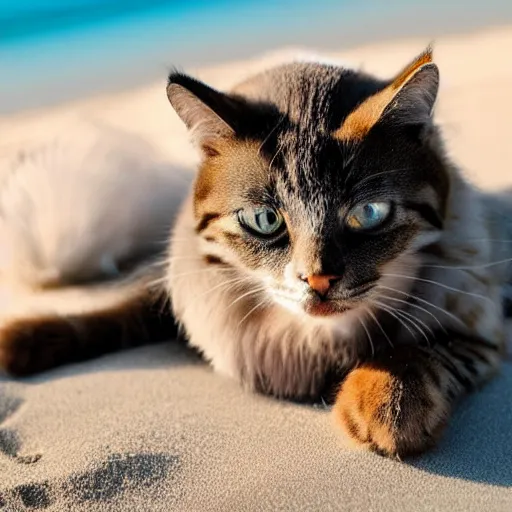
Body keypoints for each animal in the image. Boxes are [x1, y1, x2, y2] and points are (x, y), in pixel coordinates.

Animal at [1, 47, 512, 456]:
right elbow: (118, 312)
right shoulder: (184, 294)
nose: (317, 280)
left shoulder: (478, 321)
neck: (313, 341)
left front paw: (385, 405)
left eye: (368, 213)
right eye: (265, 220)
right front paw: (29, 338)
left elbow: (417, 349)